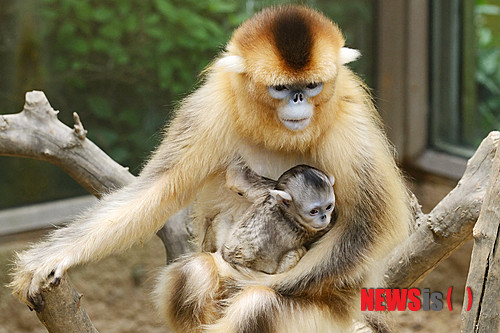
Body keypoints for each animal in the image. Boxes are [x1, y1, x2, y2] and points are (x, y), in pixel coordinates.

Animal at [11, 5, 410, 332]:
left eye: (311, 86)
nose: (299, 99)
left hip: (330, 316)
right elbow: (157, 189)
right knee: (195, 272)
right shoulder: (209, 106)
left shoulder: (350, 121)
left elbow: (368, 227)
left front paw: (255, 281)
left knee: (258, 307)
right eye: (282, 88)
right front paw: (50, 258)